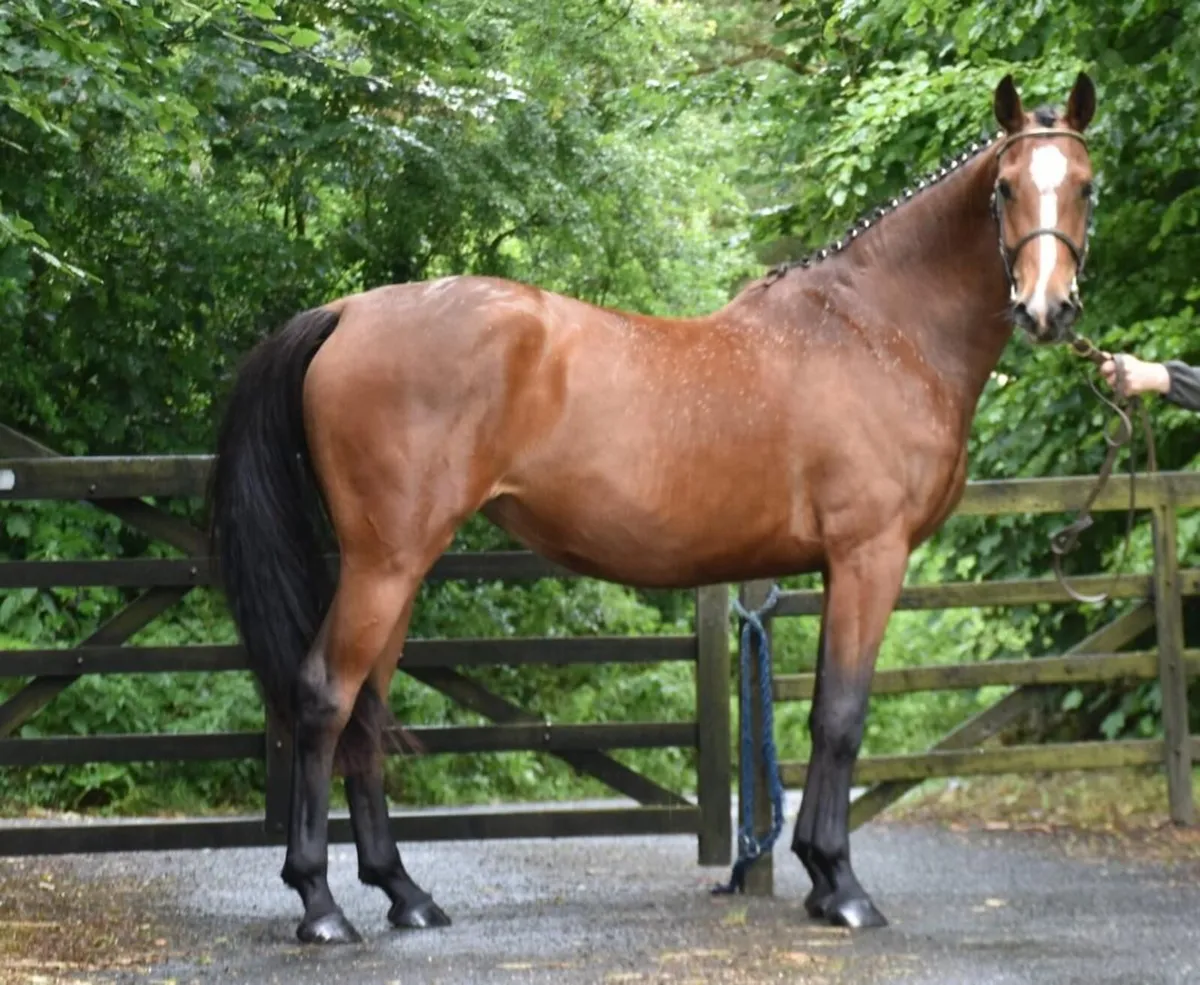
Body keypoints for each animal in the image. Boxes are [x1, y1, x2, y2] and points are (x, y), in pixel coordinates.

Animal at [207, 71, 1098, 943]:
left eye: (1085, 186)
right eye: (1007, 187)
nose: (1047, 309)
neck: (876, 329)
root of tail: (349, 311)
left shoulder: (838, 566)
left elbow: (820, 713)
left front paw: (815, 875)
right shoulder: (869, 555)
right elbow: (841, 716)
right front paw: (841, 888)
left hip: (397, 566)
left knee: (367, 705)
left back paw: (404, 892)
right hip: (384, 563)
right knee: (327, 696)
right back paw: (320, 905)